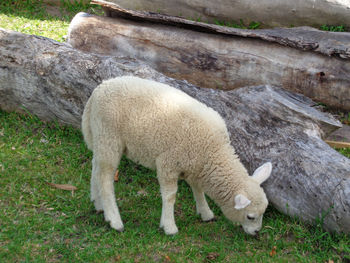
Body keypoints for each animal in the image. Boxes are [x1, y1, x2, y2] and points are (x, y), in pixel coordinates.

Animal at [82, 76, 274, 235]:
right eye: (250, 217)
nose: (256, 232)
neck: (214, 152)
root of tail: (98, 90)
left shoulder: (194, 166)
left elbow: (198, 190)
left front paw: (205, 213)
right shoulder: (168, 163)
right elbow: (170, 196)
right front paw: (169, 226)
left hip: (101, 138)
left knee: (96, 168)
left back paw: (98, 204)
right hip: (109, 137)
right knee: (105, 179)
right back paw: (114, 219)